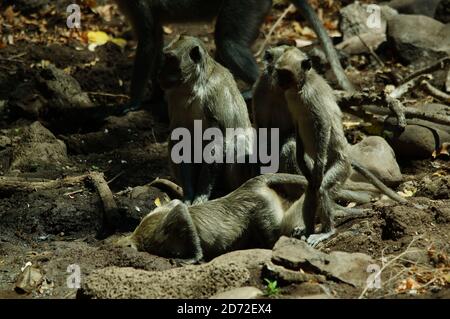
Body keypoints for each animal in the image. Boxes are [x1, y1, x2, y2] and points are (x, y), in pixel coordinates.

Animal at [113, 0, 356, 115]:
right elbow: (155, 38)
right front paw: (155, 95)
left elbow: (147, 41)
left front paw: (132, 103)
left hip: (247, 4)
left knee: (228, 42)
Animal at [160, 35, 255, 205]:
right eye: (166, 58)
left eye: (171, 59)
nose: (161, 73)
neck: (194, 86)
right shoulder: (174, 96)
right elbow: (181, 137)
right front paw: (188, 195)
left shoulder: (214, 92)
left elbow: (217, 141)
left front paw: (201, 196)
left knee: (238, 140)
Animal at [274, 47, 408, 248]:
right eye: (279, 72)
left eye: (285, 74)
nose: (278, 81)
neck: (302, 85)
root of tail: (348, 159)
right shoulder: (289, 97)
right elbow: (297, 130)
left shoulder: (311, 96)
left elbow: (323, 124)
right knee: (312, 188)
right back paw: (308, 229)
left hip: (341, 167)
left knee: (323, 188)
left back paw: (326, 231)